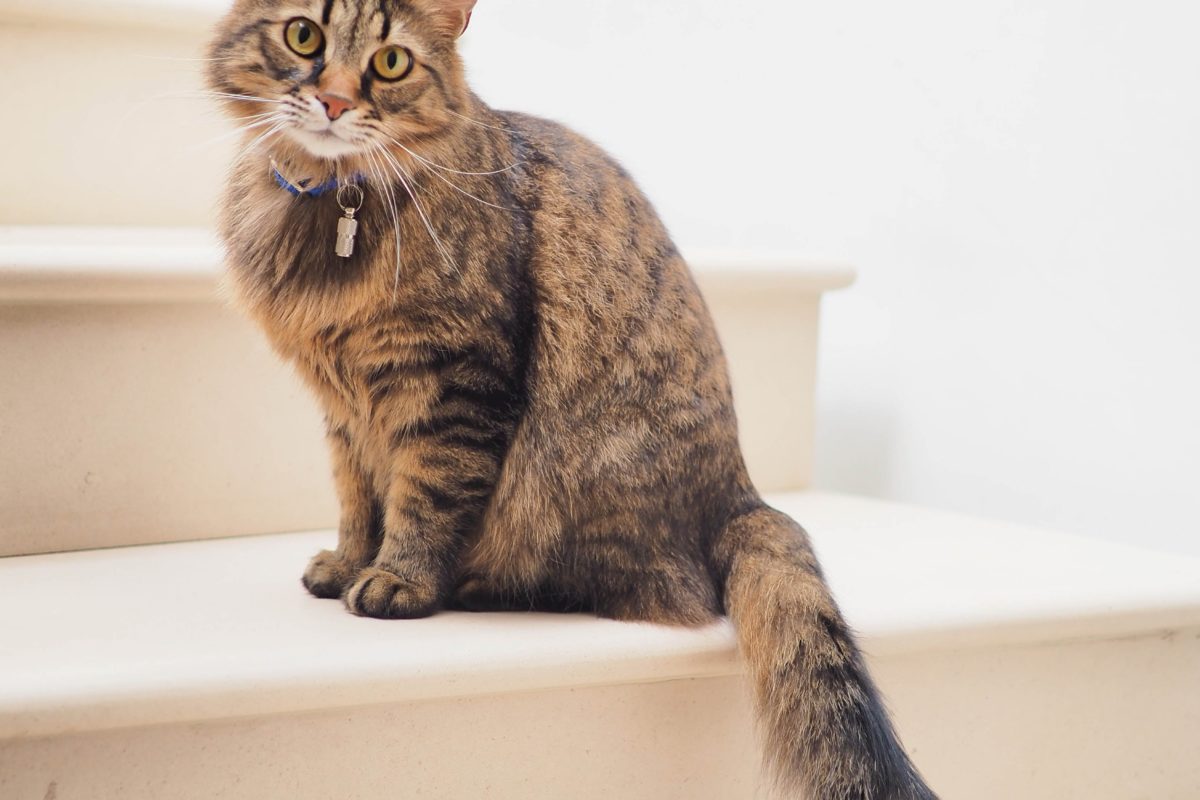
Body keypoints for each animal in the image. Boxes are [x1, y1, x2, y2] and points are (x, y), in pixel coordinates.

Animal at [206, 3, 936, 796]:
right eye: (303, 35)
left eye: (391, 63)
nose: (335, 102)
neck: (330, 204)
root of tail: (744, 495)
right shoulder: (344, 409)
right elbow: (357, 499)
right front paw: (346, 563)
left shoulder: (454, 381)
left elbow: (423, 500)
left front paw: (397, 580)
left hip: (565, 476)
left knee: (626, 588)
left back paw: (474, 585)